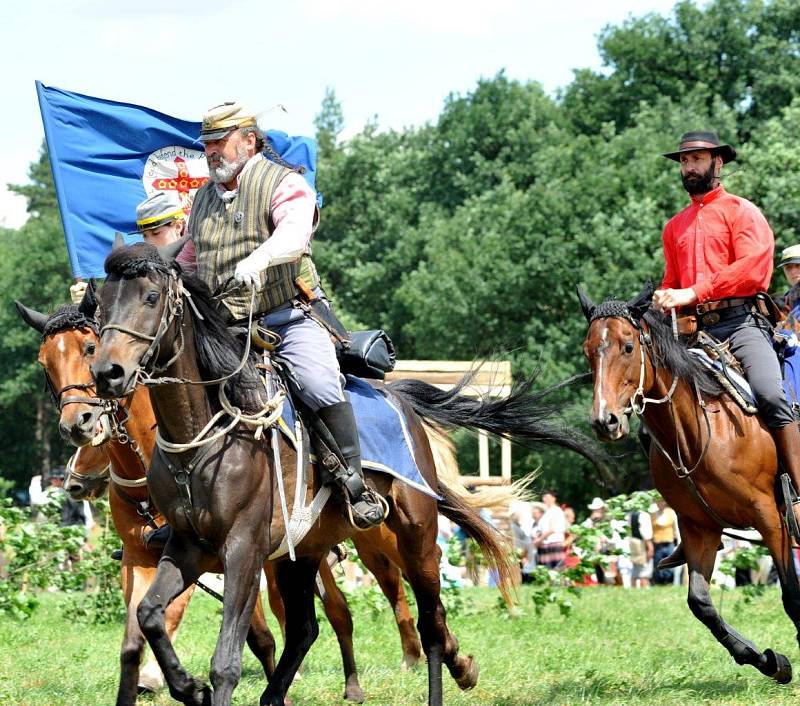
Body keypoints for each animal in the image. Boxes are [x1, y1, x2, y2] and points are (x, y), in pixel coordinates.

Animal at [89, 241, 600, 704]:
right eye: (101, 304)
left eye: (151, 297)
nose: (107, 373)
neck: (204, 437)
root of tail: (401, 399)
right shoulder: (188, 547)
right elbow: (150, 615)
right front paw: (187, 687)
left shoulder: (242, 551)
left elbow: (226, 662)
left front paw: (202, 685)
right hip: (302, 555)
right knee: (305, 630)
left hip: (414, 538)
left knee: (431, 623)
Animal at [580, 280, 800, 680]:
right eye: (589, 351)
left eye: (628, 346)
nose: (605, 421)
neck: (701, 428)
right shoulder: (700, 527)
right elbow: (701, 603)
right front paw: (767, 660)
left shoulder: (770, 517)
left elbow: (791, 594)